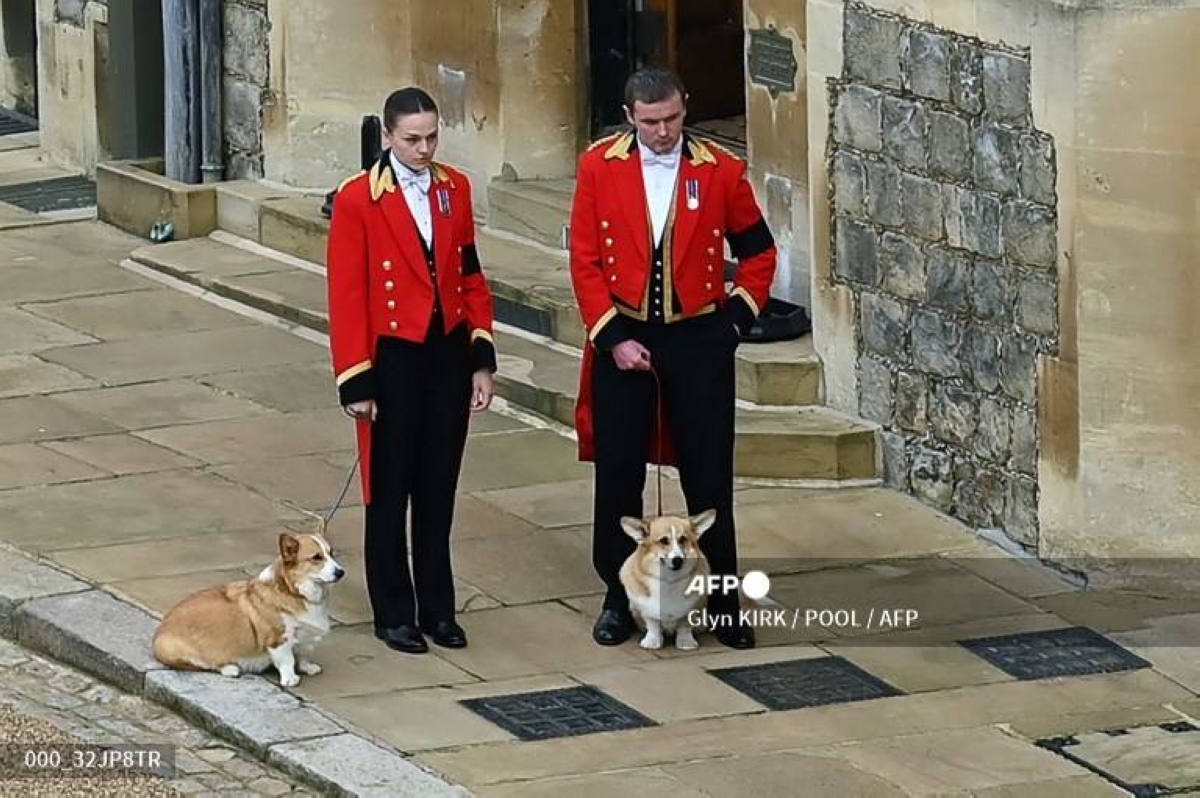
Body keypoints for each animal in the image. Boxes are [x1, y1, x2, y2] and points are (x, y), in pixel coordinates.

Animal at [152, 528, 345, 686]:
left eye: (331, 553)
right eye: (317, 557)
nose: (341, 572)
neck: (294, 592)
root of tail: (159, 632)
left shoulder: (305, 637)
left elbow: (303, 655)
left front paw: (308, 667)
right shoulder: (279, 639)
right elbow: (287, 660)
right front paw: (290, 679)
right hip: (180, 651)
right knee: (204, 664)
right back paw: (230, 668)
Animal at [619, 511, 710, 648]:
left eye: (683, 539)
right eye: (663, 541)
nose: (678, 560)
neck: (669, 580)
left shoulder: (690, 607)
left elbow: (684, 625)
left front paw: (686, 642)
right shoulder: (647, 608)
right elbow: (653, 624)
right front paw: (652, 641)